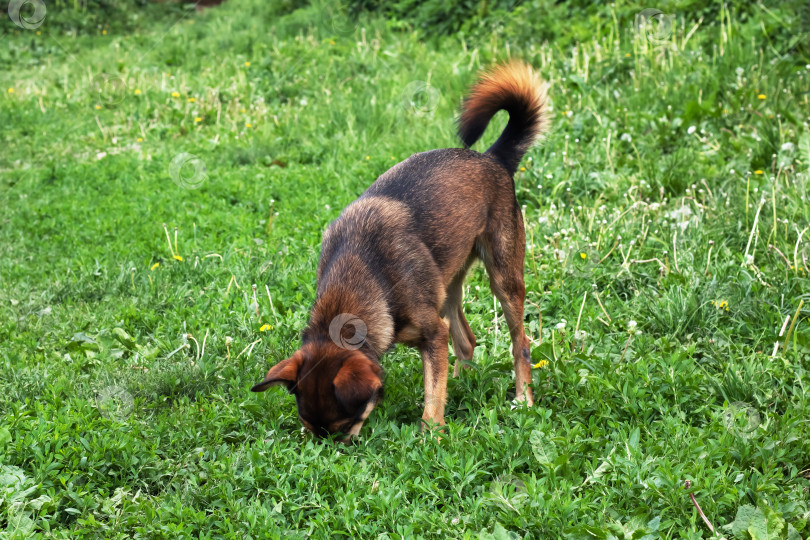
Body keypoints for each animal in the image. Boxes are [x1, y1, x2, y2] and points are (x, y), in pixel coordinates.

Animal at [252, 61, 548, 438]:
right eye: (310, 430)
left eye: (345, 425)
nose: (332, 449)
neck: (362, 271)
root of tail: (492, 158)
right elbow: (439, 377)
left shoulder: (433, 333)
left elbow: (432, 392)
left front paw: (429, 434)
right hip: (446, 283)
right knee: (466, 339)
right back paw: (463, 384)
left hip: (503, 277)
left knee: (520, 343)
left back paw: (523, 399)